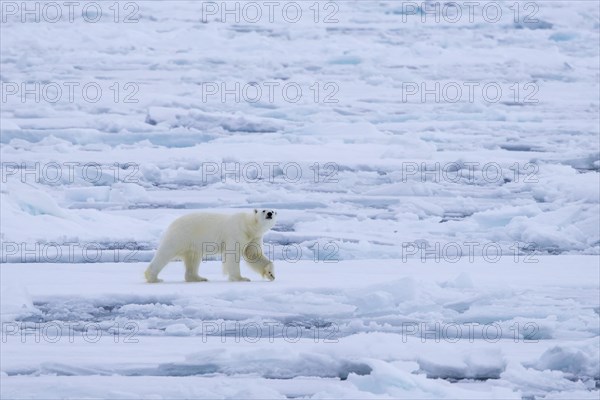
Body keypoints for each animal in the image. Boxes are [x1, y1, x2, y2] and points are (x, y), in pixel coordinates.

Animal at [144, 209, 278, 282]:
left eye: (273, 210)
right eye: (263, 210)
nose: (270, 213)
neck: (248, 225)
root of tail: (172, 223)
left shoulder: (254, 237)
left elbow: (254, 254)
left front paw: (271, 274)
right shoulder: (235, 232)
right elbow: (232, 255)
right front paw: (241, 278)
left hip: (192, 244)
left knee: (193, 259)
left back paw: (198, 278)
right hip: (180, 236)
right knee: (165, 253)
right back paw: (154, 278)